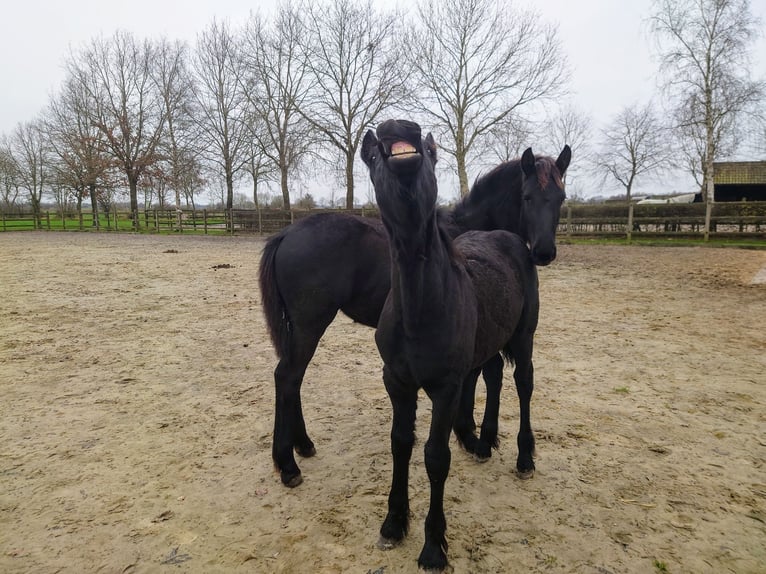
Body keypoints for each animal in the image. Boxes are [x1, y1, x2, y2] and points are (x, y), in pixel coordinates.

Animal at [262, 142, 568, 488]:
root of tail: (286, 234)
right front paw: (470, 435)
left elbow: (488, 375)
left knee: (291, 378)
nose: (543, 252)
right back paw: (288, 463)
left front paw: (478, 436)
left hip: (300, 327)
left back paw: (302, 445)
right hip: (309, 325)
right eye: (527, 196)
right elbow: (481, 378)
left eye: (561, 197)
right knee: (288, 377)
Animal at [364, 120, 544, 572]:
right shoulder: (396, 382)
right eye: (371, 155)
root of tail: (507, 236)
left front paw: (433, 546)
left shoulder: (445, 388)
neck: (420, 308)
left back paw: (524, 458)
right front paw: (393, 523)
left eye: (431, 153)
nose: (398, 128)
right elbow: (400, 443)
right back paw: (483, 442)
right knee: (494, 378)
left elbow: (435, 456)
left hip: (525, 338)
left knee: (524, 385)